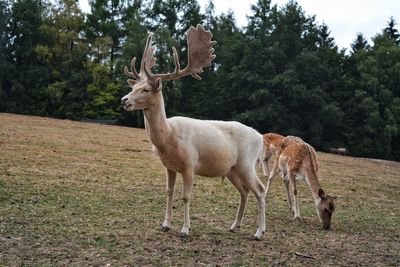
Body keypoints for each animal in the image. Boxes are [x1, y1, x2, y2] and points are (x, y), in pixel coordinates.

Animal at [120, 25, 268, 241]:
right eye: (134, 87)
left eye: (146, 89)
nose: (124, 100)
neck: (168, 139)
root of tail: (261, 138)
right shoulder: (169, 166)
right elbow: (169, 192)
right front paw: (165, 224)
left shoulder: (190, 165)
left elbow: (186, 196)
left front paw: (185, 230)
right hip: (232, 169)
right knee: (244, 191)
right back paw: (235, 226)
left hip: (247, 164)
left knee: (260, 189)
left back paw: (259, 232)